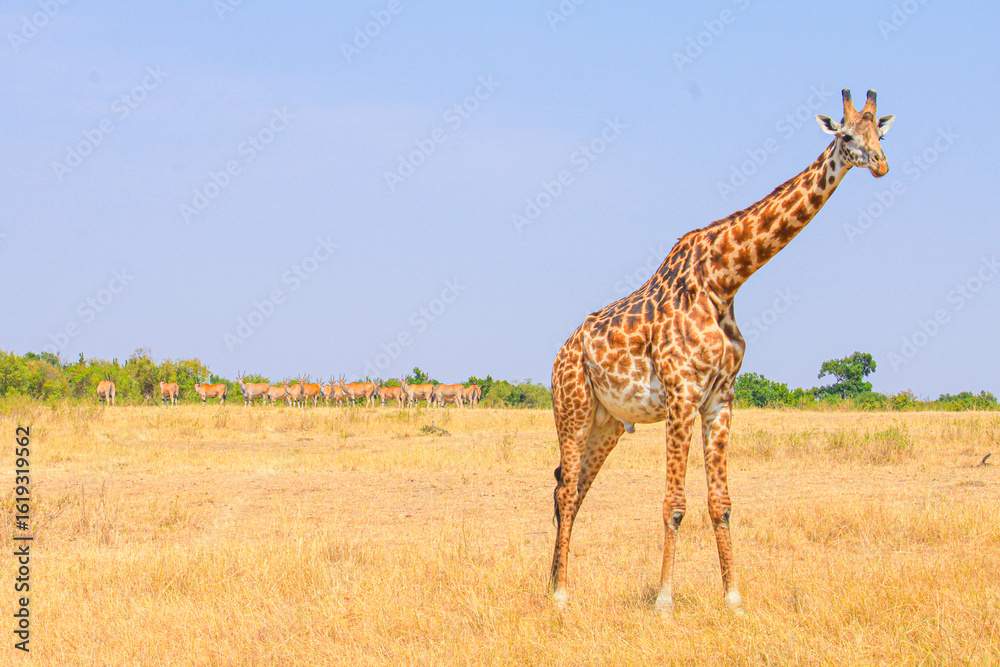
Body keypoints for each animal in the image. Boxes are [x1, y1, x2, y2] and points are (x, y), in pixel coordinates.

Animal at [549, 89, 894, 615]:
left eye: (883, 134)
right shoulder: (681, 395)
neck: (725, 280)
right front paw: (664, 601)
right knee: (567, 493)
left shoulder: (720, 399)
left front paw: (733, 597)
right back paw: (561, 595)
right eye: (847, 136)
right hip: (573, 409)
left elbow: (722, 504)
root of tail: (558, 355)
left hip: (606, 424)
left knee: (571, 488)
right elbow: (674, 504)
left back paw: (551, 582)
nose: (880, 164)